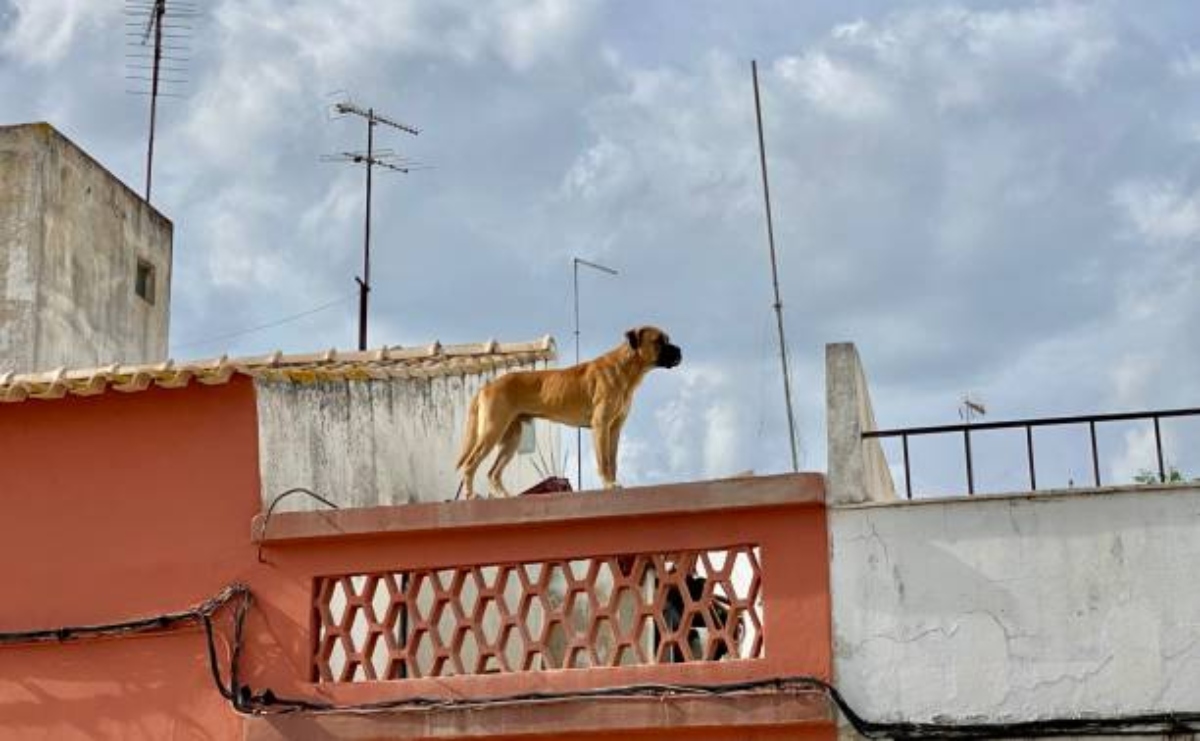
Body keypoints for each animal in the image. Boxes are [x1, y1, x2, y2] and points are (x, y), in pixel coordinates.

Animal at [458, 323, 681, 493]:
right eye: (659, 341)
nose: (680, 351)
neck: (626, 368)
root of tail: (486, 386)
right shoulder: (601, 426)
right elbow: (604, 461)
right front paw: (609, 484)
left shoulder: (614, 428)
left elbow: (613, 461)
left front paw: (613, 483)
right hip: (492, 430)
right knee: (470, 464)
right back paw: (471, 496)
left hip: (510, 438)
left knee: (493, 473)